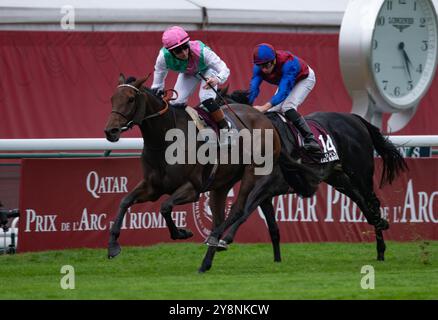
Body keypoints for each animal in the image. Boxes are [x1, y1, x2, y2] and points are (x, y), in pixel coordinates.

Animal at [104, 74, 292, 258]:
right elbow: (125, 201)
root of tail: (266, 120)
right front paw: (113, 245)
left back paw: (216, 238)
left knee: (238, 209)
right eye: (112, 98)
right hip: (223, 183)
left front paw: (181, 233)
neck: (166, 140)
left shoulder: (192, 188)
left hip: (252, 173)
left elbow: (165, 207)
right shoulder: (152, 187)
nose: (110, 131)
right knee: (220, 215)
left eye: (130, 99)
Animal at [198, 89, 408, 272]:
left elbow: (244, 211)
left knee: (372, 202)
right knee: (361, 201)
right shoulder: (265, 193)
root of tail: (356, 119)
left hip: (361, 172)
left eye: (215, 114)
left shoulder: (266, 186)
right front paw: (277, 260)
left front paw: (223, 240)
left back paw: (381, 247)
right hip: (337, 177)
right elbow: (271, 227)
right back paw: (380, 226)